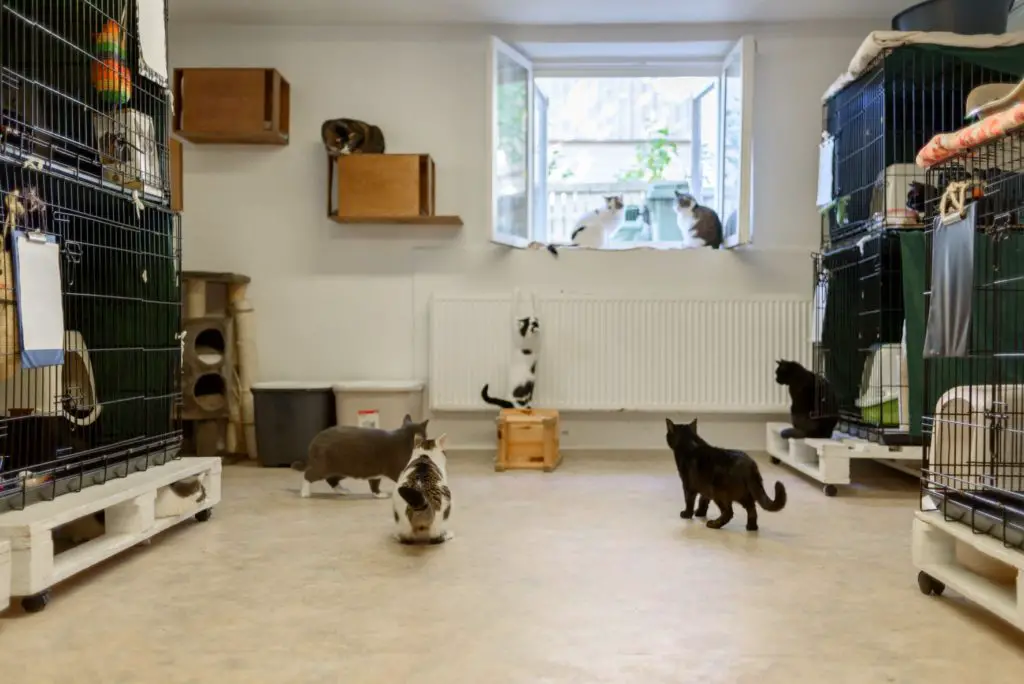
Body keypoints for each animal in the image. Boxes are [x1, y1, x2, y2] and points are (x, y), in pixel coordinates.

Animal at [292, 413, 428, 499]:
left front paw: (378, 494)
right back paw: (305, 493)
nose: (428, 441)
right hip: (325, 466)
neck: (404, 439)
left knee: (331, 480)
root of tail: (315, 440)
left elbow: (374, 483)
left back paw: (342, 491)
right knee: (308, 475)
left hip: (342, 469)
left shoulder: (376, 471)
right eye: (426, 435)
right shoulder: (397, 469)